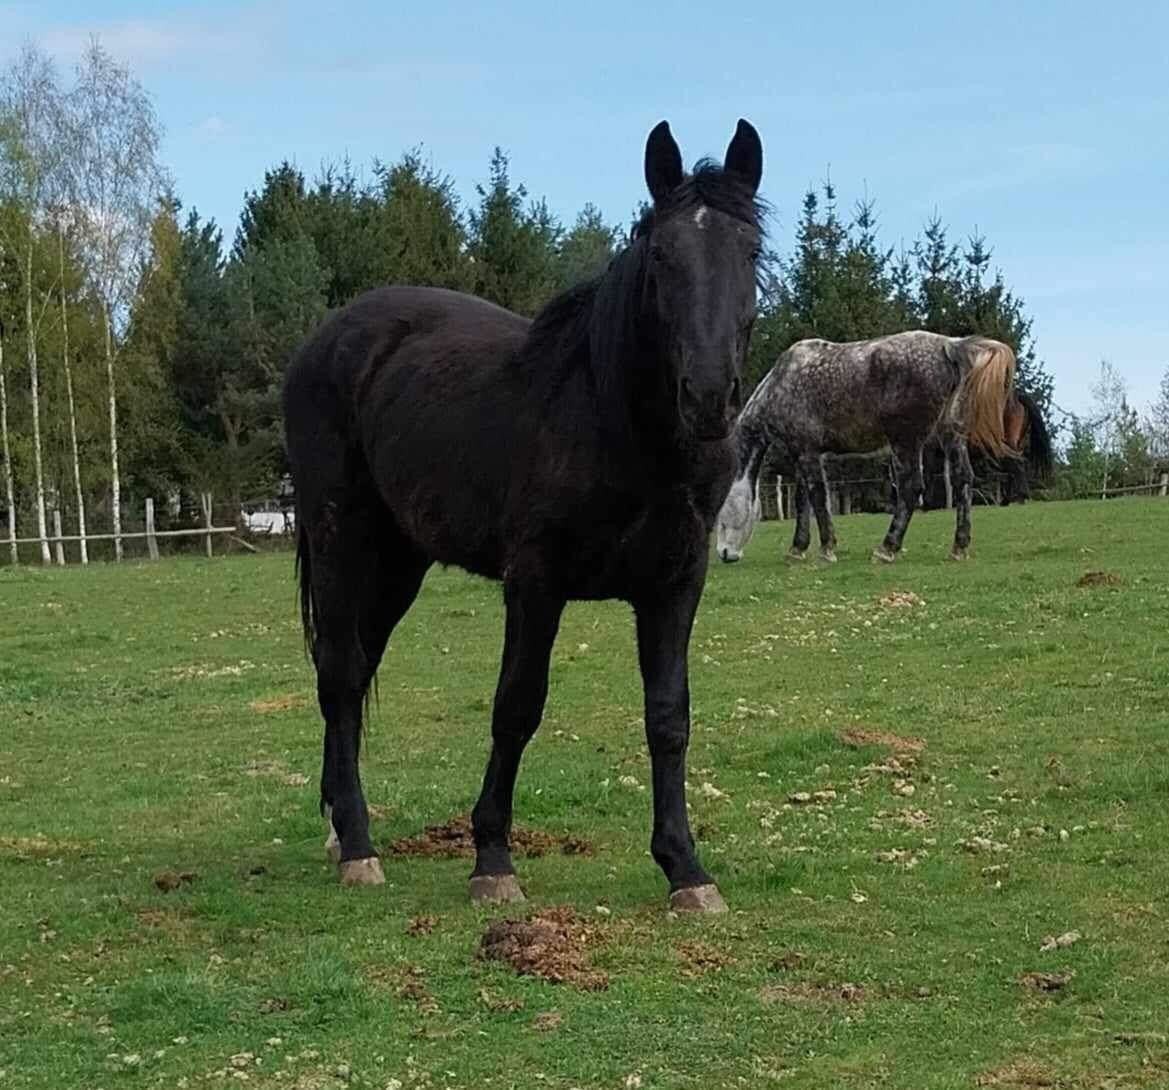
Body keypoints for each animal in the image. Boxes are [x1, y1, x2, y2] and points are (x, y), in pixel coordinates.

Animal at [282, 116, 766, 912]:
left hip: (398, 561)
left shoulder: (676, 585)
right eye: (661, 256)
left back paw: (335, 827)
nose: (707, 398)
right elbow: (517, 707)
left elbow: (669, 718)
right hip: (340, 543)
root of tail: (326, 340)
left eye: (750, 251)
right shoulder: (535, 581)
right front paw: (492, 859)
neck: (612, 422)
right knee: (342, 676)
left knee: (349, 671)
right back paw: (357, 846)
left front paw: (686, 869)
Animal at [710, 334, 1033, 566]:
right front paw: (798, 549)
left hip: (906, 442)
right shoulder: (804, 455)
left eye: (719, 516)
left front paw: (826, 549)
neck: (782, 384)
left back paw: (887, 548)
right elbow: (804, 502)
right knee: (963, 479)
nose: (725, 554)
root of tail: (950, 347)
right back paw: (958, 546)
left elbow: (817, 498)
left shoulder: (807, 454)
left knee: (910, 488)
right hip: (950, 436)